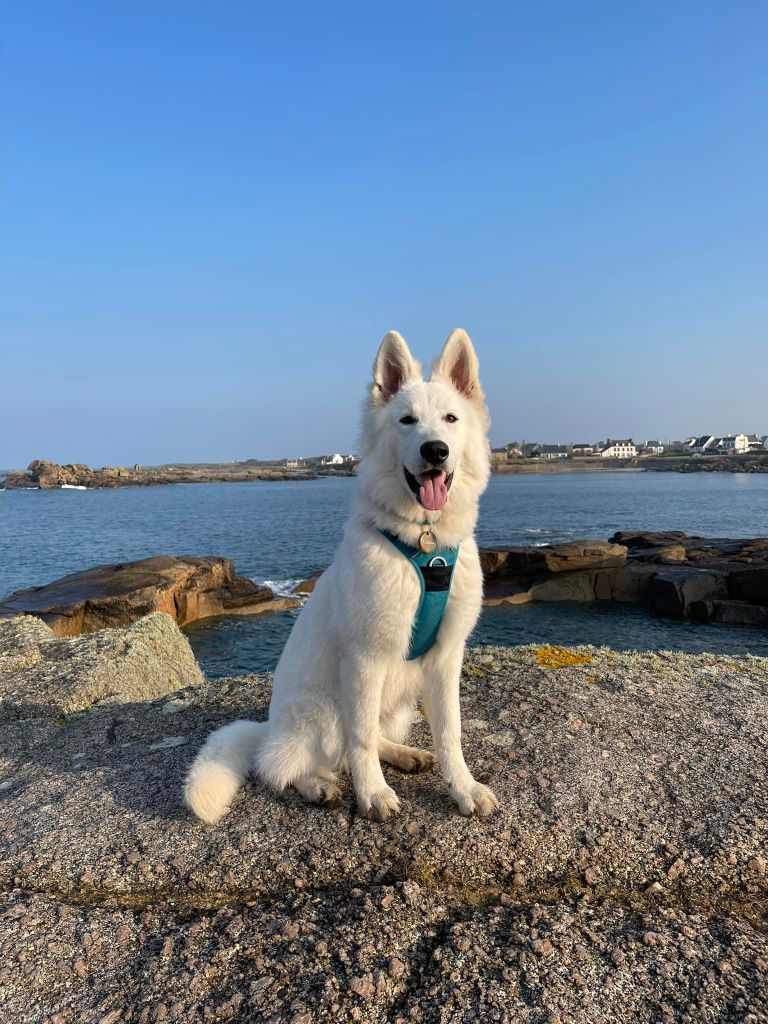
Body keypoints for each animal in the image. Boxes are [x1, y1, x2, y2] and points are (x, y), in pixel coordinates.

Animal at [185, 327, 499, 823]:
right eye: (407, 420)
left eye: (450, 419)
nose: (436, 450)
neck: (423, 545)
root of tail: (269, 727)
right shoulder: (366, 657)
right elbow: (361, 739)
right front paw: (372, 794)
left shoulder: (446, 658)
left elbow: (450, 732)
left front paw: (463, 788)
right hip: (326, 710)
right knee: (282, 765)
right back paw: (316, 784)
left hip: (402, 702)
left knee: (364, 742)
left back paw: (403, 755)